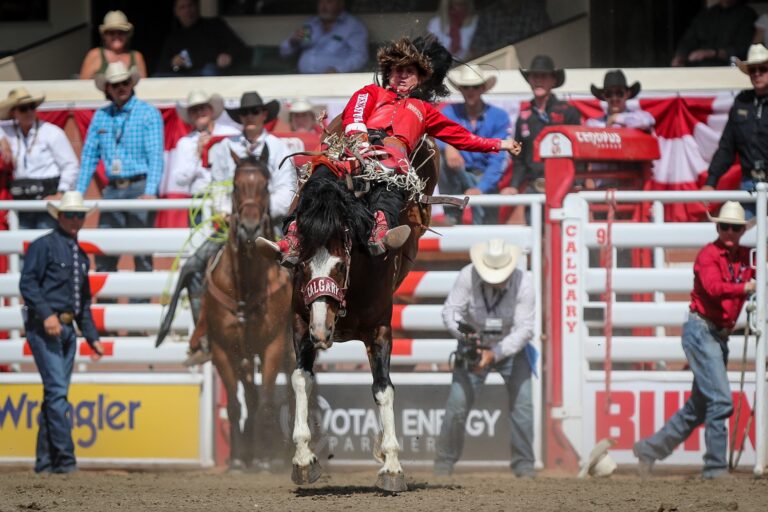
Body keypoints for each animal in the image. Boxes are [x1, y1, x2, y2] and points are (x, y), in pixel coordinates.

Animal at [200, 150, 292, 470]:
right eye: (236, 186)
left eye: (265, 186)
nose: (249, 229)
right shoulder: (224, 349)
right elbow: (236, 403)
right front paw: (240, 456)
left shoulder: (274, 345)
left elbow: (267, 400)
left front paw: (267, 455)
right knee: (250, 395)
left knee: (295, 391)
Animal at [288, 137, 438, 492]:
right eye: (302, 267)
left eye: (340, 266)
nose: (321, 331)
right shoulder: (300, 323)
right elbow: (301, 378)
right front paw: (303, 459)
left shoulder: (380, 329)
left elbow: (383, 389)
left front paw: (392, 466)